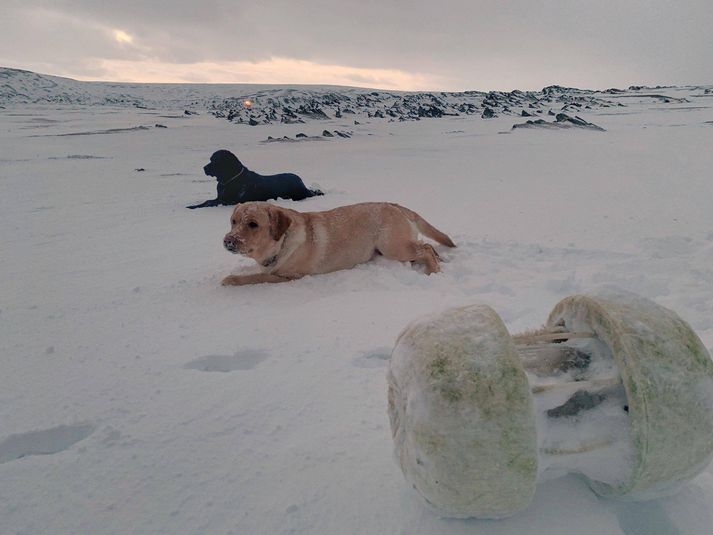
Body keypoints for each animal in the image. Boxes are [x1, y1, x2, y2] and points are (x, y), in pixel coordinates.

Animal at [185, 151, 322, 211]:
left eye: (216, 160)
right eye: (211, 159)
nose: (204, 168)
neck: (230, 179)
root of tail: (301, 182)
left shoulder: (229, 201)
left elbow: (208, 202)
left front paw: (192, 206)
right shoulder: (221, 198)